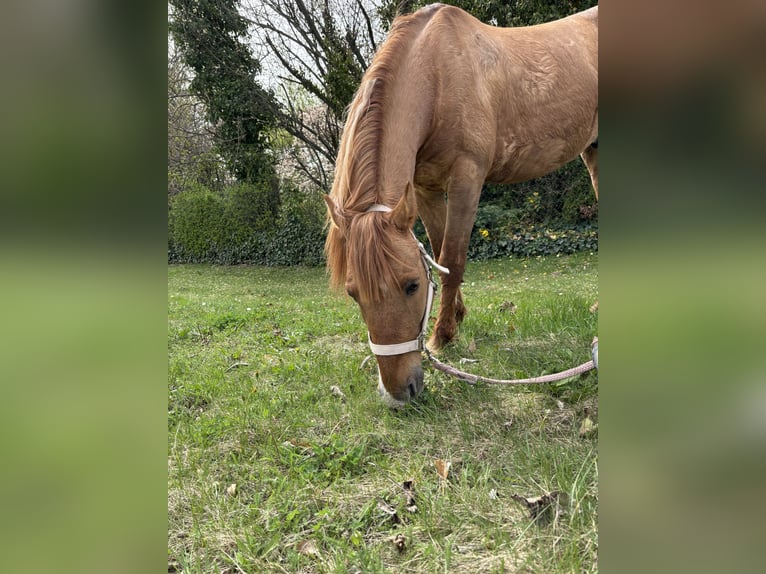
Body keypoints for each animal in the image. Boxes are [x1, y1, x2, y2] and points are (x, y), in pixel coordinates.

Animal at [324, 4, 600, 410]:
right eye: (352, 293)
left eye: (411, 285)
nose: (398, 393)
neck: (437, 77)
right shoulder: (424, 188)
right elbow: (439, 254)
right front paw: (455, 318)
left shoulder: (466, 180)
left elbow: (452, 259)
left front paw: (442, 337)